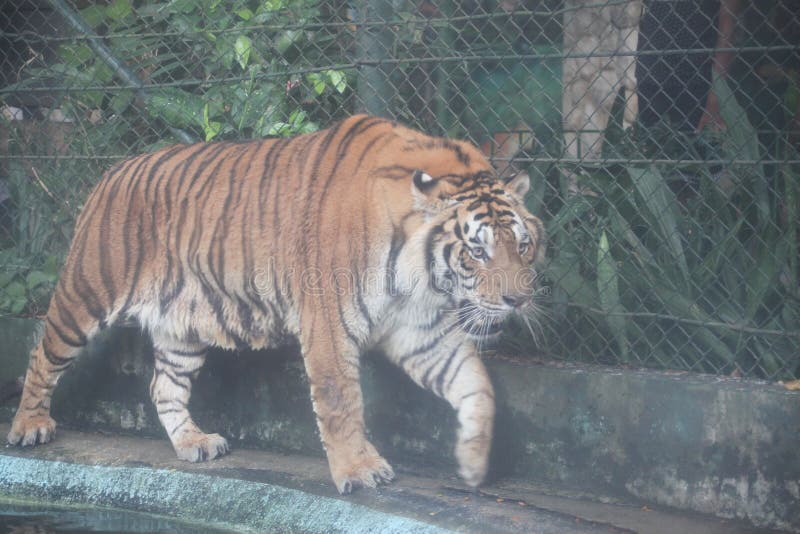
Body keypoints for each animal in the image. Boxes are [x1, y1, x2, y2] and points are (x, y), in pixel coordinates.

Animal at [7, 114, 546, 494]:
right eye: (477, 251)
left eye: (523, 245)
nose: (518, 300)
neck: (420, 277)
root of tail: (114, 169)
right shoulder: (328, 323)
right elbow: (341, 401)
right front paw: (359, 470)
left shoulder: (420, 330)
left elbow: (475, 384)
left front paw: (473, 462)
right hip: (85, 294)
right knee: (40, 354)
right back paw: (29, 427)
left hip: (182, 328)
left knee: (164, 387)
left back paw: (194, 443)